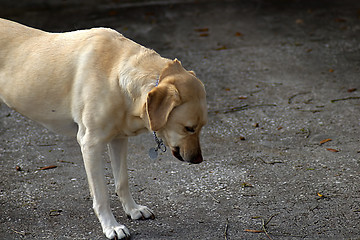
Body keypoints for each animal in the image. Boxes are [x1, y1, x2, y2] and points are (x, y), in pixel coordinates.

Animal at [0, 19, 207, 240]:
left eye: (202, 127)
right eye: (189, 128)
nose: (198, 160)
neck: (115, 75)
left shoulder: (119, 140)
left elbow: (122, 181)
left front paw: (133, 210)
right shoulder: (90, 144)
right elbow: (102, 195)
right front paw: (111, 226)